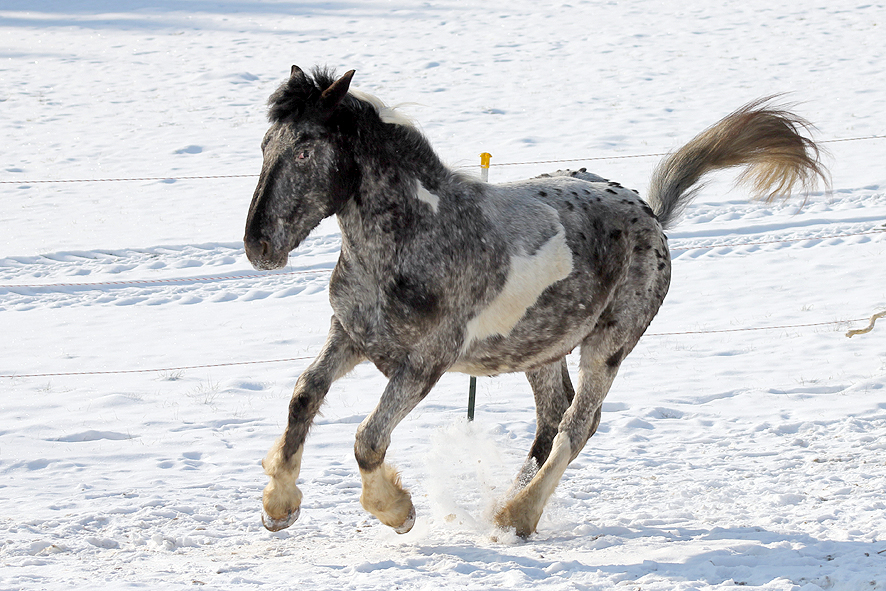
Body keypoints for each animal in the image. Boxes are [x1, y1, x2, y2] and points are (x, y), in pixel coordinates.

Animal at [243, 67, 824, 540]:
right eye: (266, 144)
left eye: (304, 151)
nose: (258, 246)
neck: (414, 238)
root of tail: (651, 214)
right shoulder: (350, 336)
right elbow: (303, 396)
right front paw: (279, 508)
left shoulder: (425, 363)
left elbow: (367, 438)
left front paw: (398, 512)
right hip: (541, 348)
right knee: (552, 417)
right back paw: (504, 507)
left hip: (608, 346)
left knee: (576, 425)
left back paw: (515, 516)